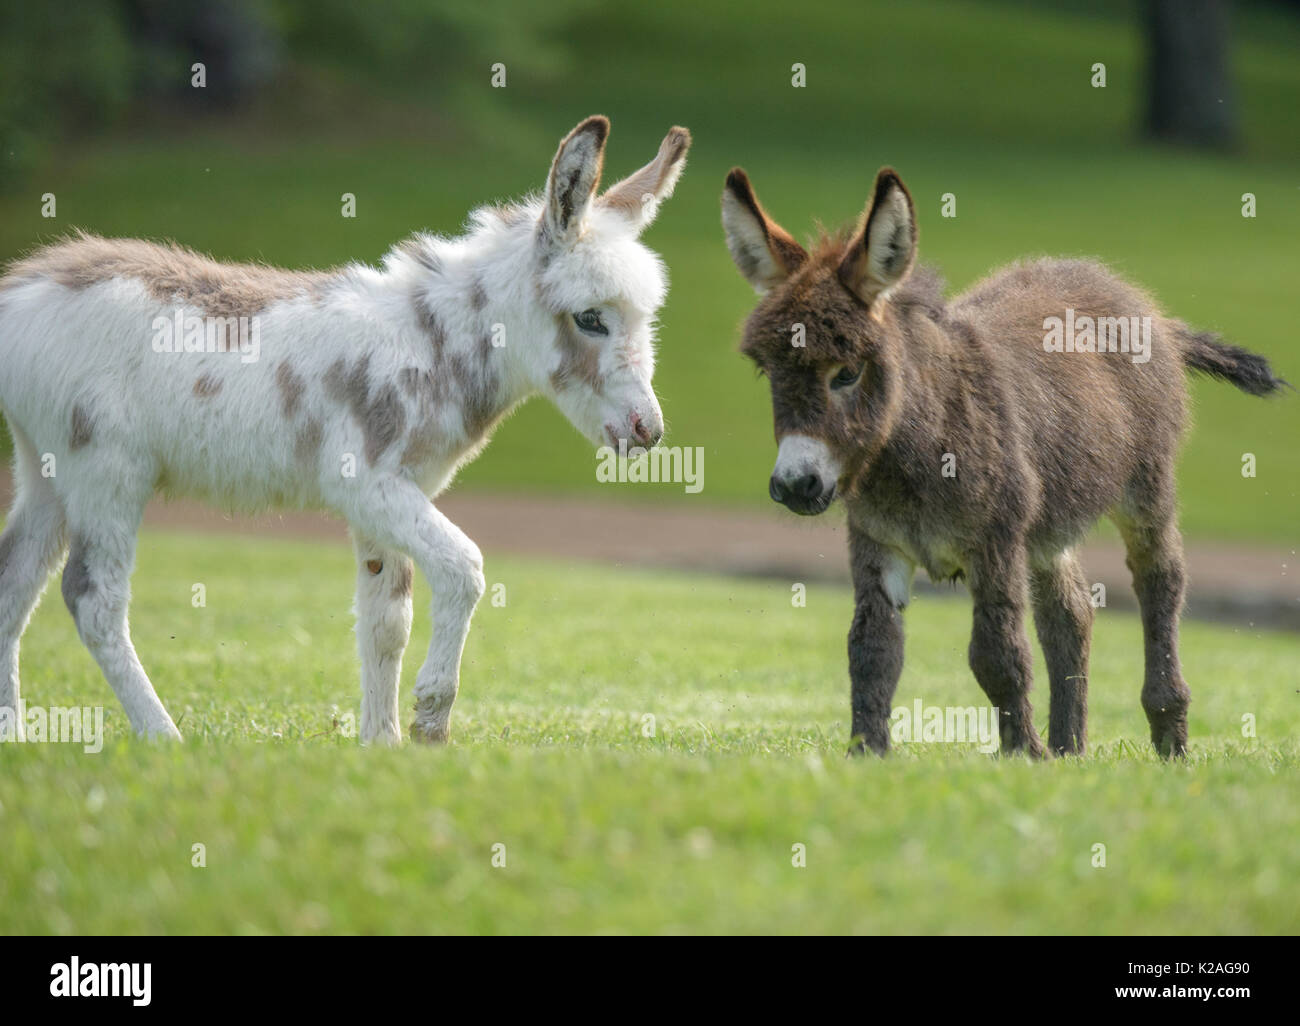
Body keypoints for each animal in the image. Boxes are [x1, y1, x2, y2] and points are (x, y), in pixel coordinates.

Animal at [0, 116, 691, 743]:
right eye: (590, 318)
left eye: (644, 318)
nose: (648, 431)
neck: (432, 344)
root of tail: (22, 289)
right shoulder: (367, 483)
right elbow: (464, 566)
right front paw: (431, 716)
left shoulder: (390, 499)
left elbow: (386, 622)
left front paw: (381, 745)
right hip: (105, 469)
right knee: (93, 600)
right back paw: (162, 736)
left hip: (48, 471)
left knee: (13, 582)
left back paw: (14, 735)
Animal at [728, 167, 1284, 754]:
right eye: (768, 371)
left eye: (848, 372)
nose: (795, 485)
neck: (913, 454)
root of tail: (1145, 307)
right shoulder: (880, 545)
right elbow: (872, 651)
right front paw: (867, 755)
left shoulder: (995, 543)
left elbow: (997, 656)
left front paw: (1024, 754)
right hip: (1046, 524)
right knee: (1072, 611)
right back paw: (1070, 749)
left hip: (1145, 485)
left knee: (1161, 581)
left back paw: (1168, 737)